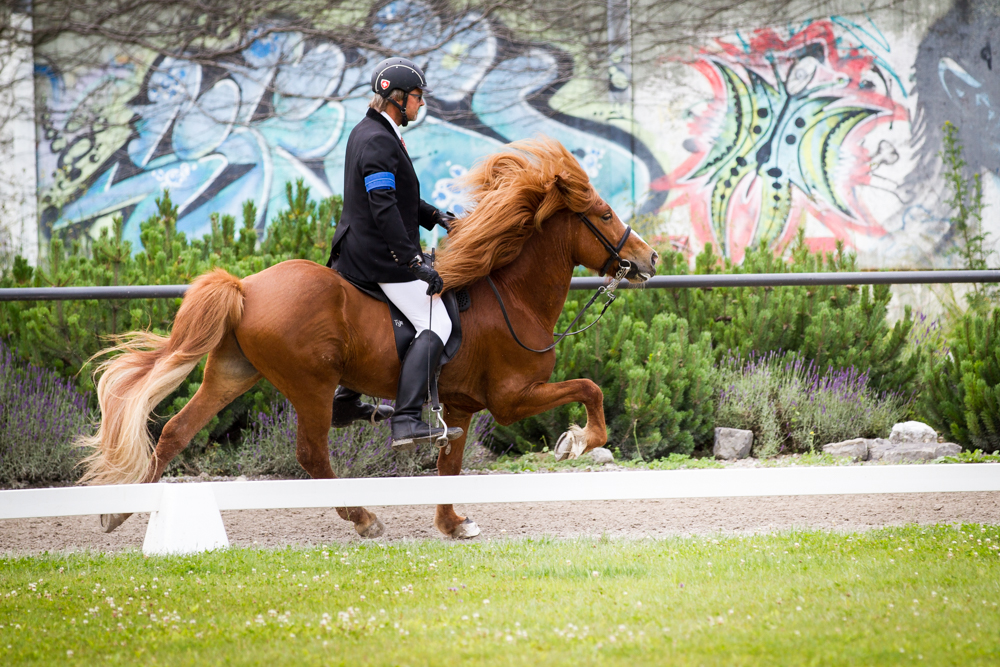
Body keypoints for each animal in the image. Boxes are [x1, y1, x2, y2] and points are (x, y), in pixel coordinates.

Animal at [78, 138, 656, 540]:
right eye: (605, 214)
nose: (650, 259)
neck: (512, 296)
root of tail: (245, 286)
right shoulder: (512, 398)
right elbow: (589, 390)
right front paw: (576, 441)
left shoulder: (461, 407)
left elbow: (450, 466)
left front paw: (453, 524)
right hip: (309, 383)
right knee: (312, 455)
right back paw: (363, 518)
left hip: (233, 373)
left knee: (175, 431)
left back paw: (119, 510)